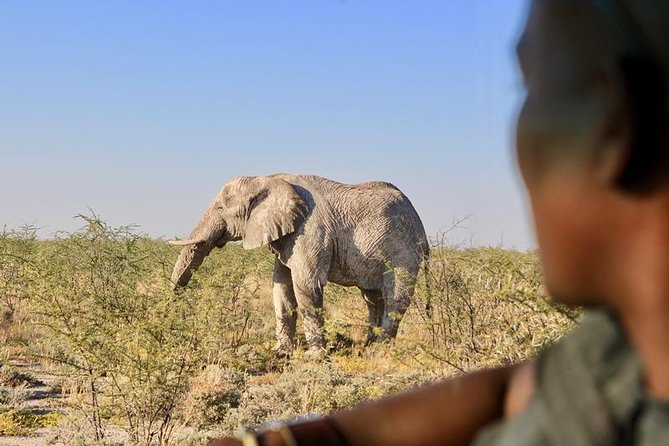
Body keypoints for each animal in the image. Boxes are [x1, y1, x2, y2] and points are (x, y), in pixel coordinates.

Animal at [168, 173, 428, 356]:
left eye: (220, 208)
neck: (267, 178)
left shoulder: (311, 230)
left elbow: (306, 285)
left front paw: (314, 356)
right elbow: (281, 287)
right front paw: (281, 352)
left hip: (404, 252)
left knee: (396, 297)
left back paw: (379, 351)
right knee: (373, 298)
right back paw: (368, 346)